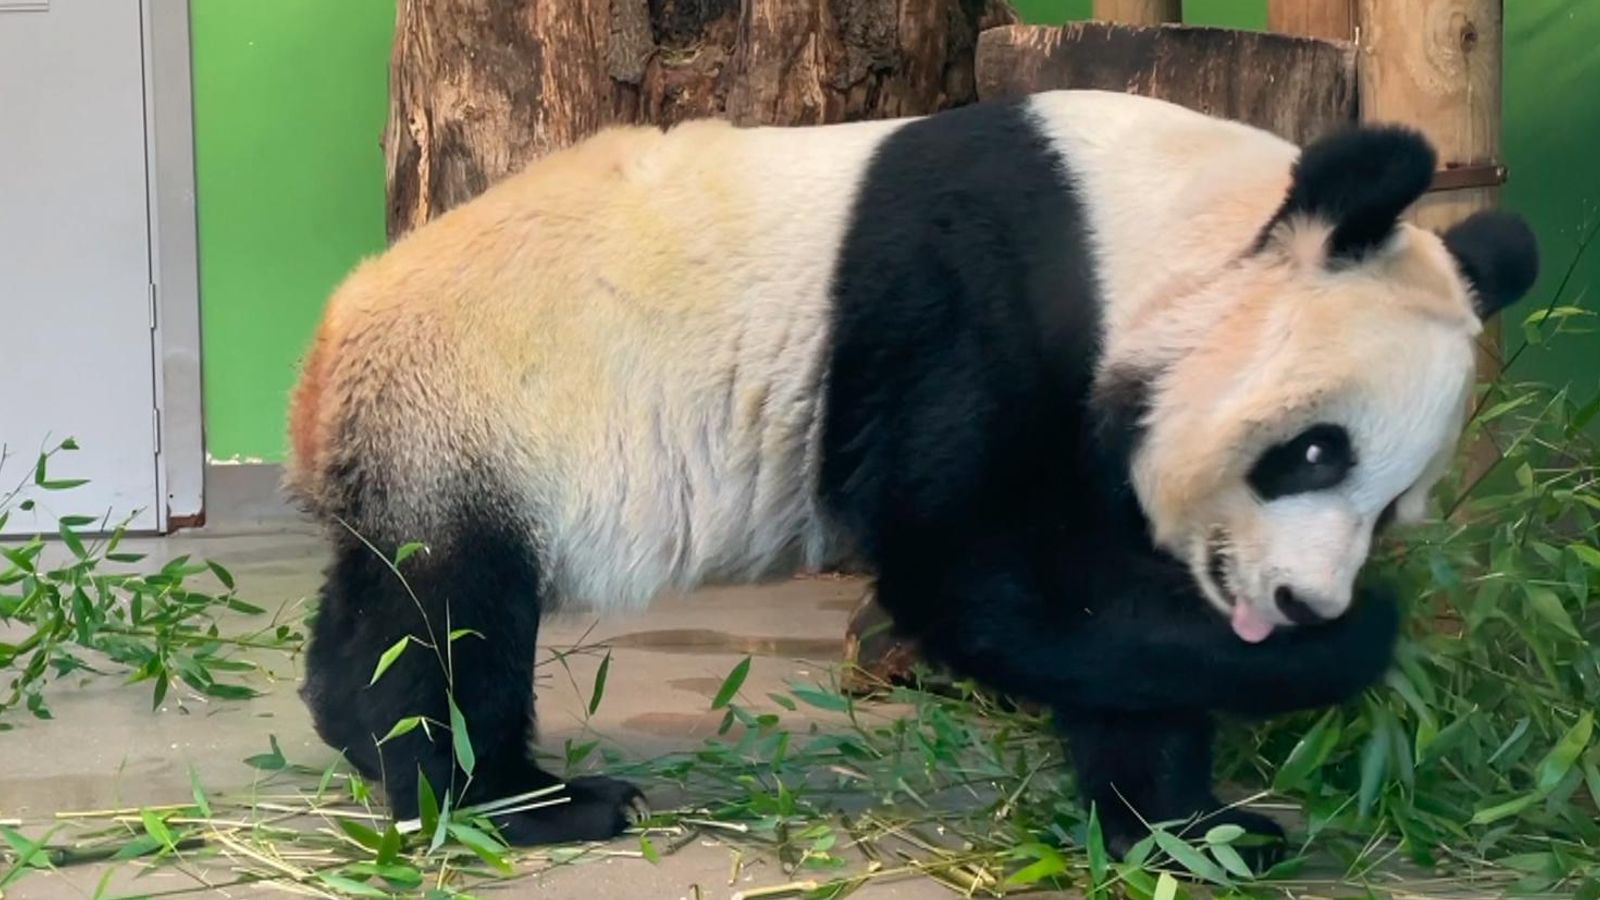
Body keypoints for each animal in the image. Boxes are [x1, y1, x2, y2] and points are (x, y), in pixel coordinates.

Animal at [284, 87, 1536, 858]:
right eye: (1313, 452)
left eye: (1395, 503)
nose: (1299, 602)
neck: (1149, 227)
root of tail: (330, 339)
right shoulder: (973, 301)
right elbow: (981, 582)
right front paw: (1360, 646)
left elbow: (1106, 629)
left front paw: (1191, 829)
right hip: (479, 410)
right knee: (451, 623)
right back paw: (513, 798)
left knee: (379, 599)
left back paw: (351, 729)